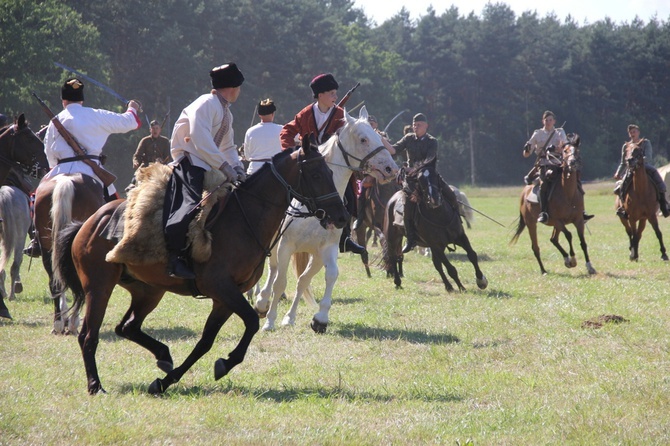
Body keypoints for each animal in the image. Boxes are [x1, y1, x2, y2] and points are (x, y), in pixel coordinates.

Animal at [53, 139, 350, 394]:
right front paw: (224, 363)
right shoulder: (222, 289)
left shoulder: (224, 299)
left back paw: (163, 356)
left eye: (329, 171)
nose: (342, 216)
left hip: (148, 291)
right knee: (88, 335)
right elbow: (252, 321)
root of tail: (89, 223)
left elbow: (206, 342)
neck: (243, 219)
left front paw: (169, 380)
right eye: (316, 174)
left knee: (126, 328)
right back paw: (95, 385)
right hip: (99, 288)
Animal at [252, 106, 400, 332]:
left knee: (302, 280)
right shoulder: (286, 245)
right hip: (276, 246)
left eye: (379, 136)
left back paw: (289, 317)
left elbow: (329, 276)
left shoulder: (327, 250)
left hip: (314, 256)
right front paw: (269, 320)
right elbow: (280, 281)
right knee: (274, 271)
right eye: (363, 139)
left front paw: (320, 318)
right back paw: (262, 302)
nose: (391, 169)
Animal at [384, 158, 488, 292]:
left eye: (436, 175)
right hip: (392, 237)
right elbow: (451, 268)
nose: (434, 199)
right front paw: (461, 287)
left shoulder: (460, 237)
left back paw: (448, 286)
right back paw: (397, 281)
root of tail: (392, 200)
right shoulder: (437, 246)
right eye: (420, 179)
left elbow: (472, 255)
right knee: (393, 256)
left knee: (436, 265)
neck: (440, 217)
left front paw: (481, 280)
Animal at [512, 134, 600, 276]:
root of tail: (524, 192)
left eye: (577, 150)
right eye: (565, 151)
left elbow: (583, 242)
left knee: (553, 239)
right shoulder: (558, 221)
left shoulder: (579, 220)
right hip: (532, 223)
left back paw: (565, 260)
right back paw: (544, 270)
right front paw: (573, 260)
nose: (573, 162)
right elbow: (569, 235)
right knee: (536, 247)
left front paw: (589, 266)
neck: (568, 194)